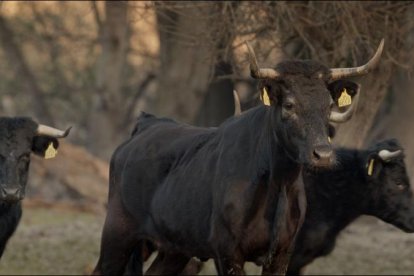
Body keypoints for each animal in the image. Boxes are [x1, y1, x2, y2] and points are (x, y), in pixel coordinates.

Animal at [92, 40, 384, 274]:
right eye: (289, 105)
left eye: (328, 105)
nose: (322, 155)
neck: (278, 185)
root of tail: (147, 123)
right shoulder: (228, 253)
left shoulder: (282, 255)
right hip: (118, 233)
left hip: (174, 248)